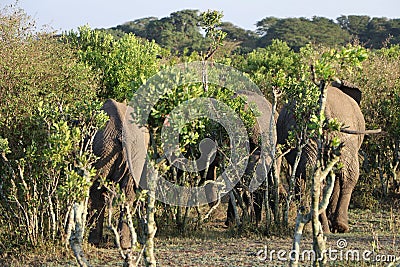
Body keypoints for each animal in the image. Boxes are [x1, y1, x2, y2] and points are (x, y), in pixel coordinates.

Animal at [88, 100, 149, 249]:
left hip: (102, 148)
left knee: (97, 190)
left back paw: (93, 241)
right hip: (135, 151)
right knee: (127, 193)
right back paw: (125, 245)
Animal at [278, 80, 366, 233]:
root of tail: (325, 112)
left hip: (321, 138)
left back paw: (330, 227)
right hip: (335, 138)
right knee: (349, 176)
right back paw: (336, 227)